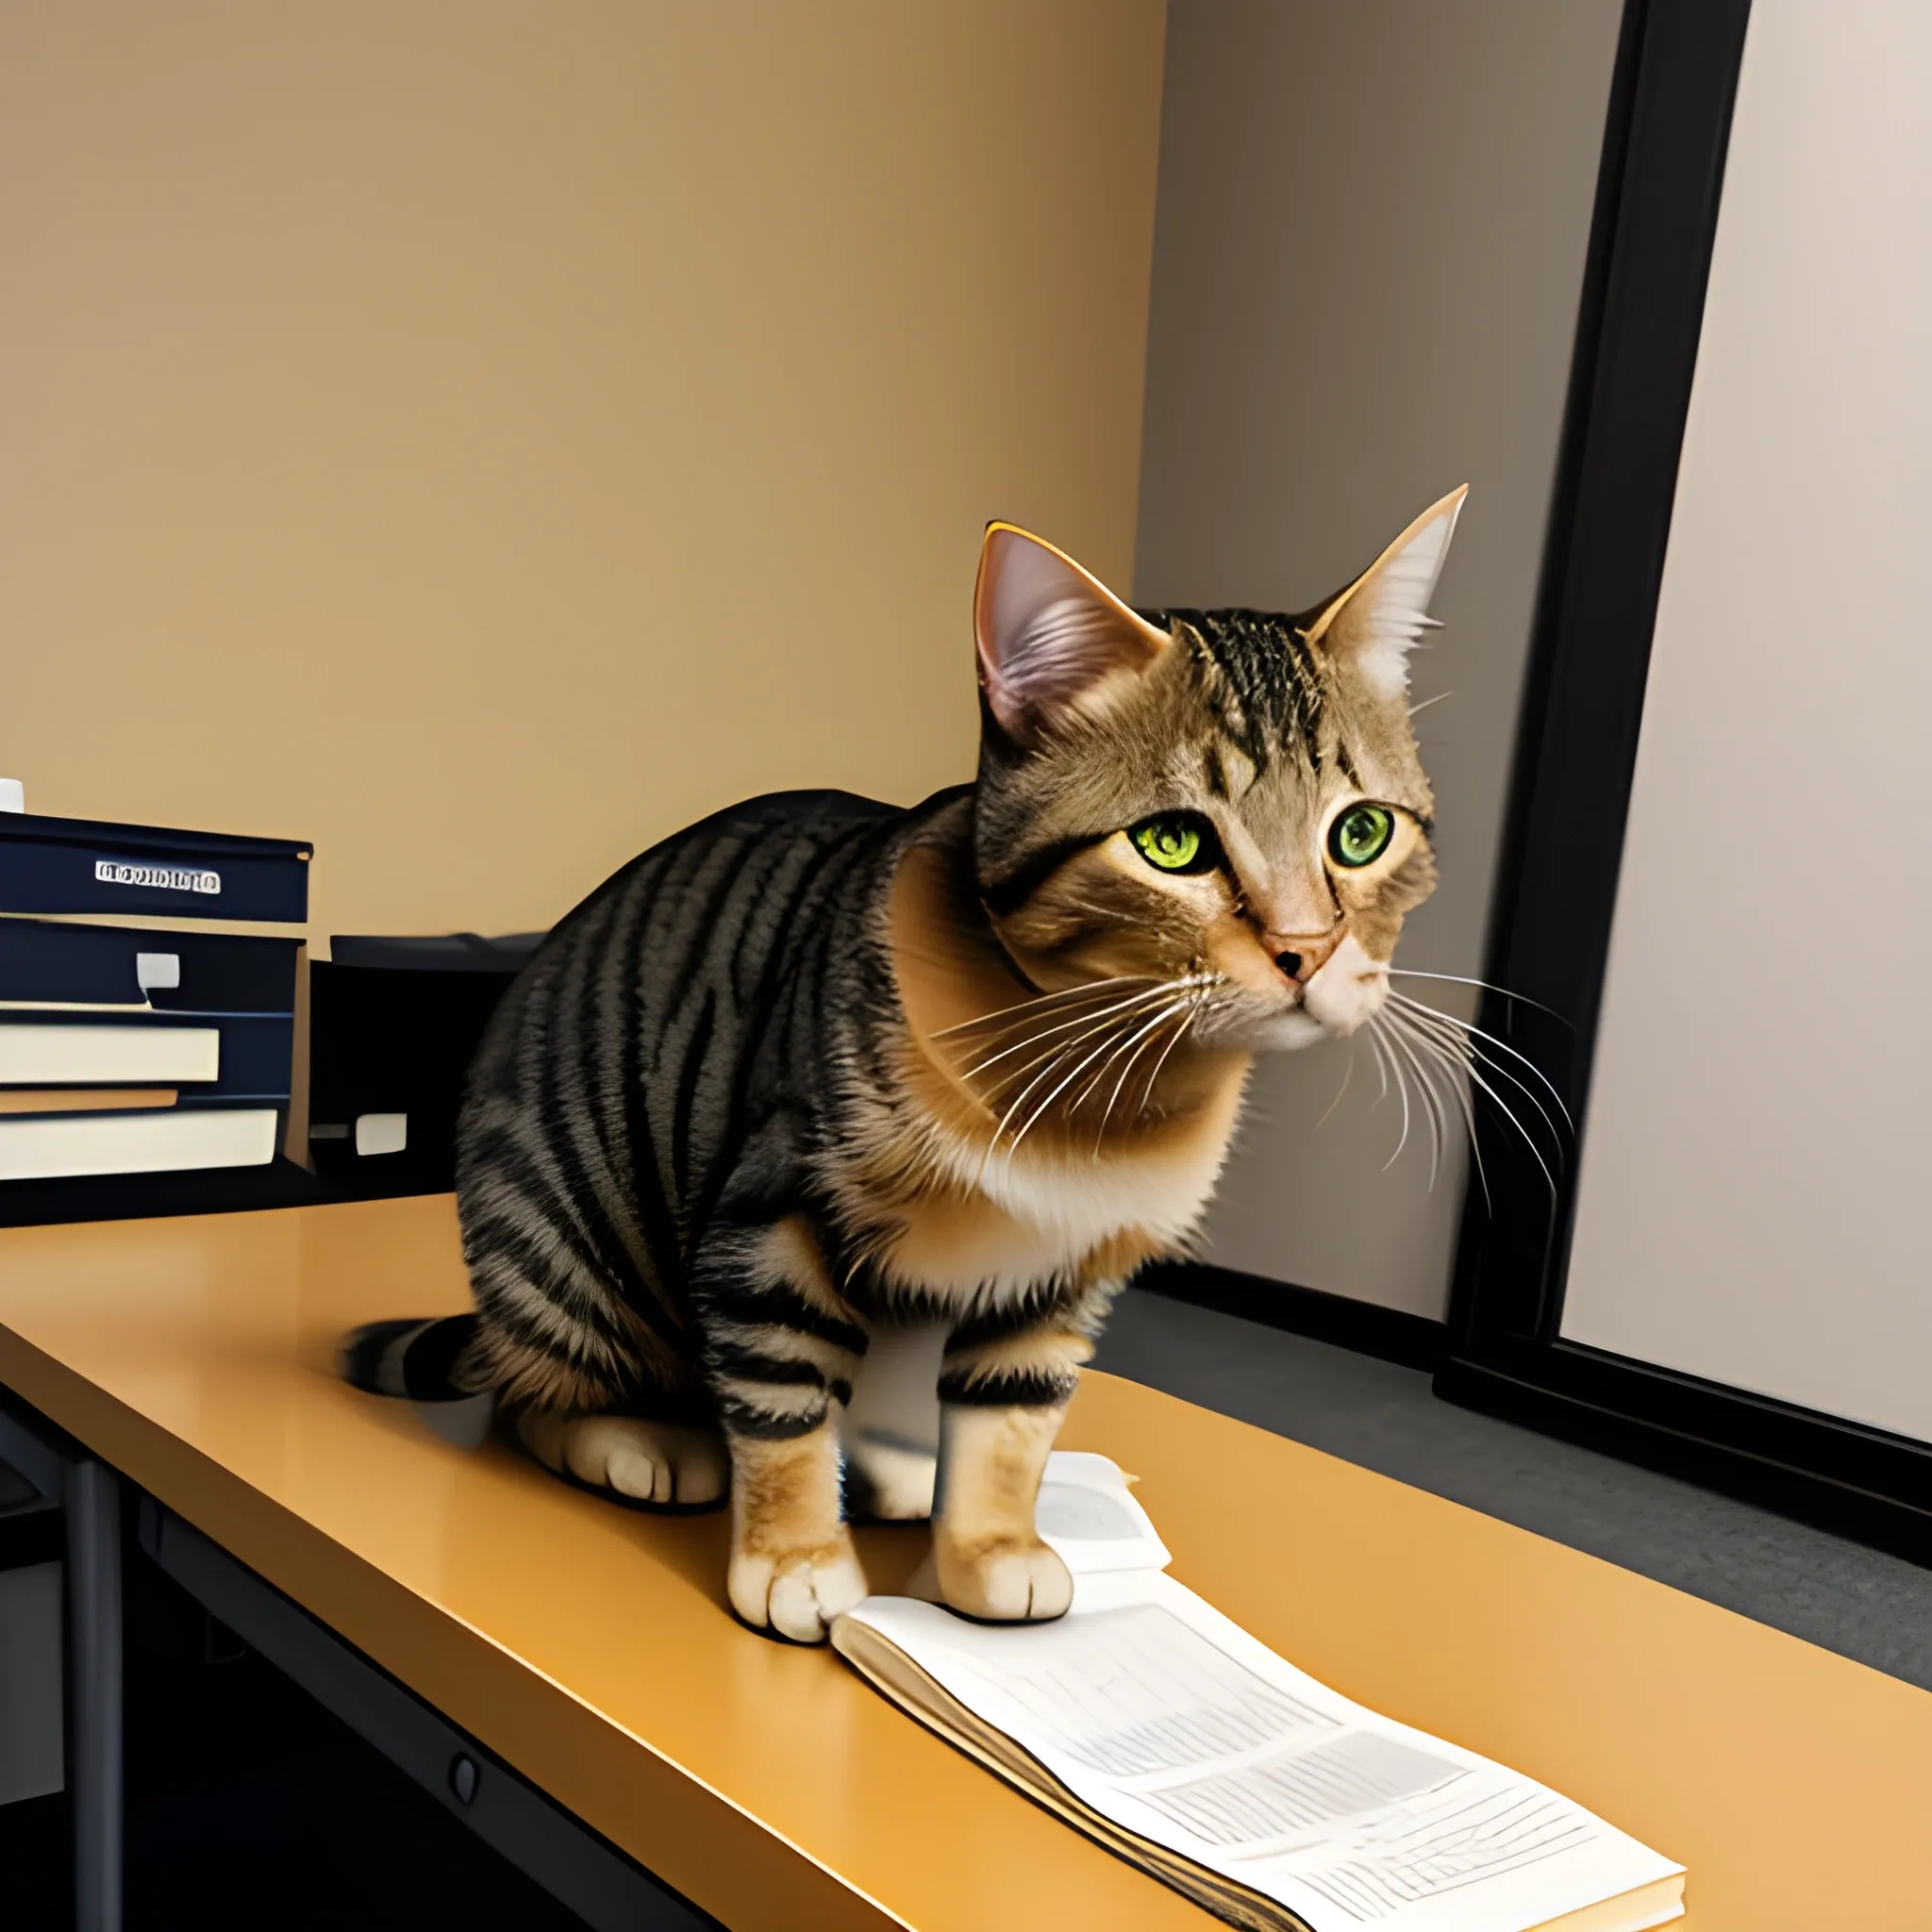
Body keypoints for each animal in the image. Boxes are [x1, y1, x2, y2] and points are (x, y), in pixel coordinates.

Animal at [343, 487, 1460, 1645]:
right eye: (1173, 845)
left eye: (1361, 832)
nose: (1307, 949)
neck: (1103, 1087)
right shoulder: (776, 1215)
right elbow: (780, 1393)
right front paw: (794, 1558)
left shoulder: (1054, 1276)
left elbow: (1009, 1428)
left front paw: (987, 1552)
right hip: (567, 1249)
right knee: (538, 1394)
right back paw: (639, 1443)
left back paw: (884, 1471)